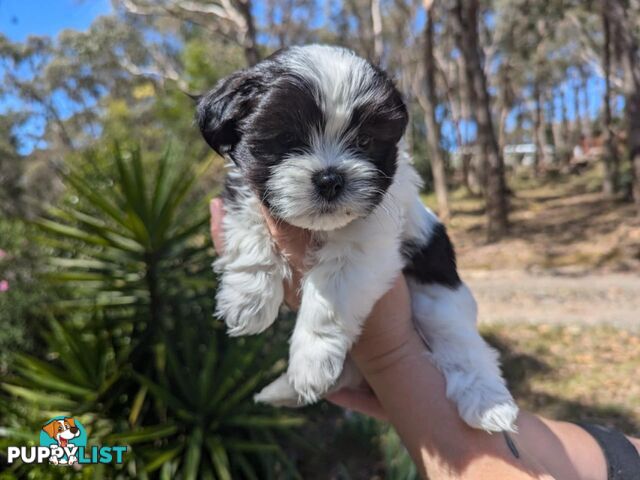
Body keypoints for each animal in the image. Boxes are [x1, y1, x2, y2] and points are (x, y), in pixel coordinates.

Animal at [198, 45, 516, 434]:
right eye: (288, 139)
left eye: (364, 142)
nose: (330, 179)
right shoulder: (248, 191)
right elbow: (248, 229)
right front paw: (248, 299)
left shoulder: (368, 241)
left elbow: (330, 297)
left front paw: (311, 360)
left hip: (442, 303)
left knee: (465, 347)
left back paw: (488, 403)